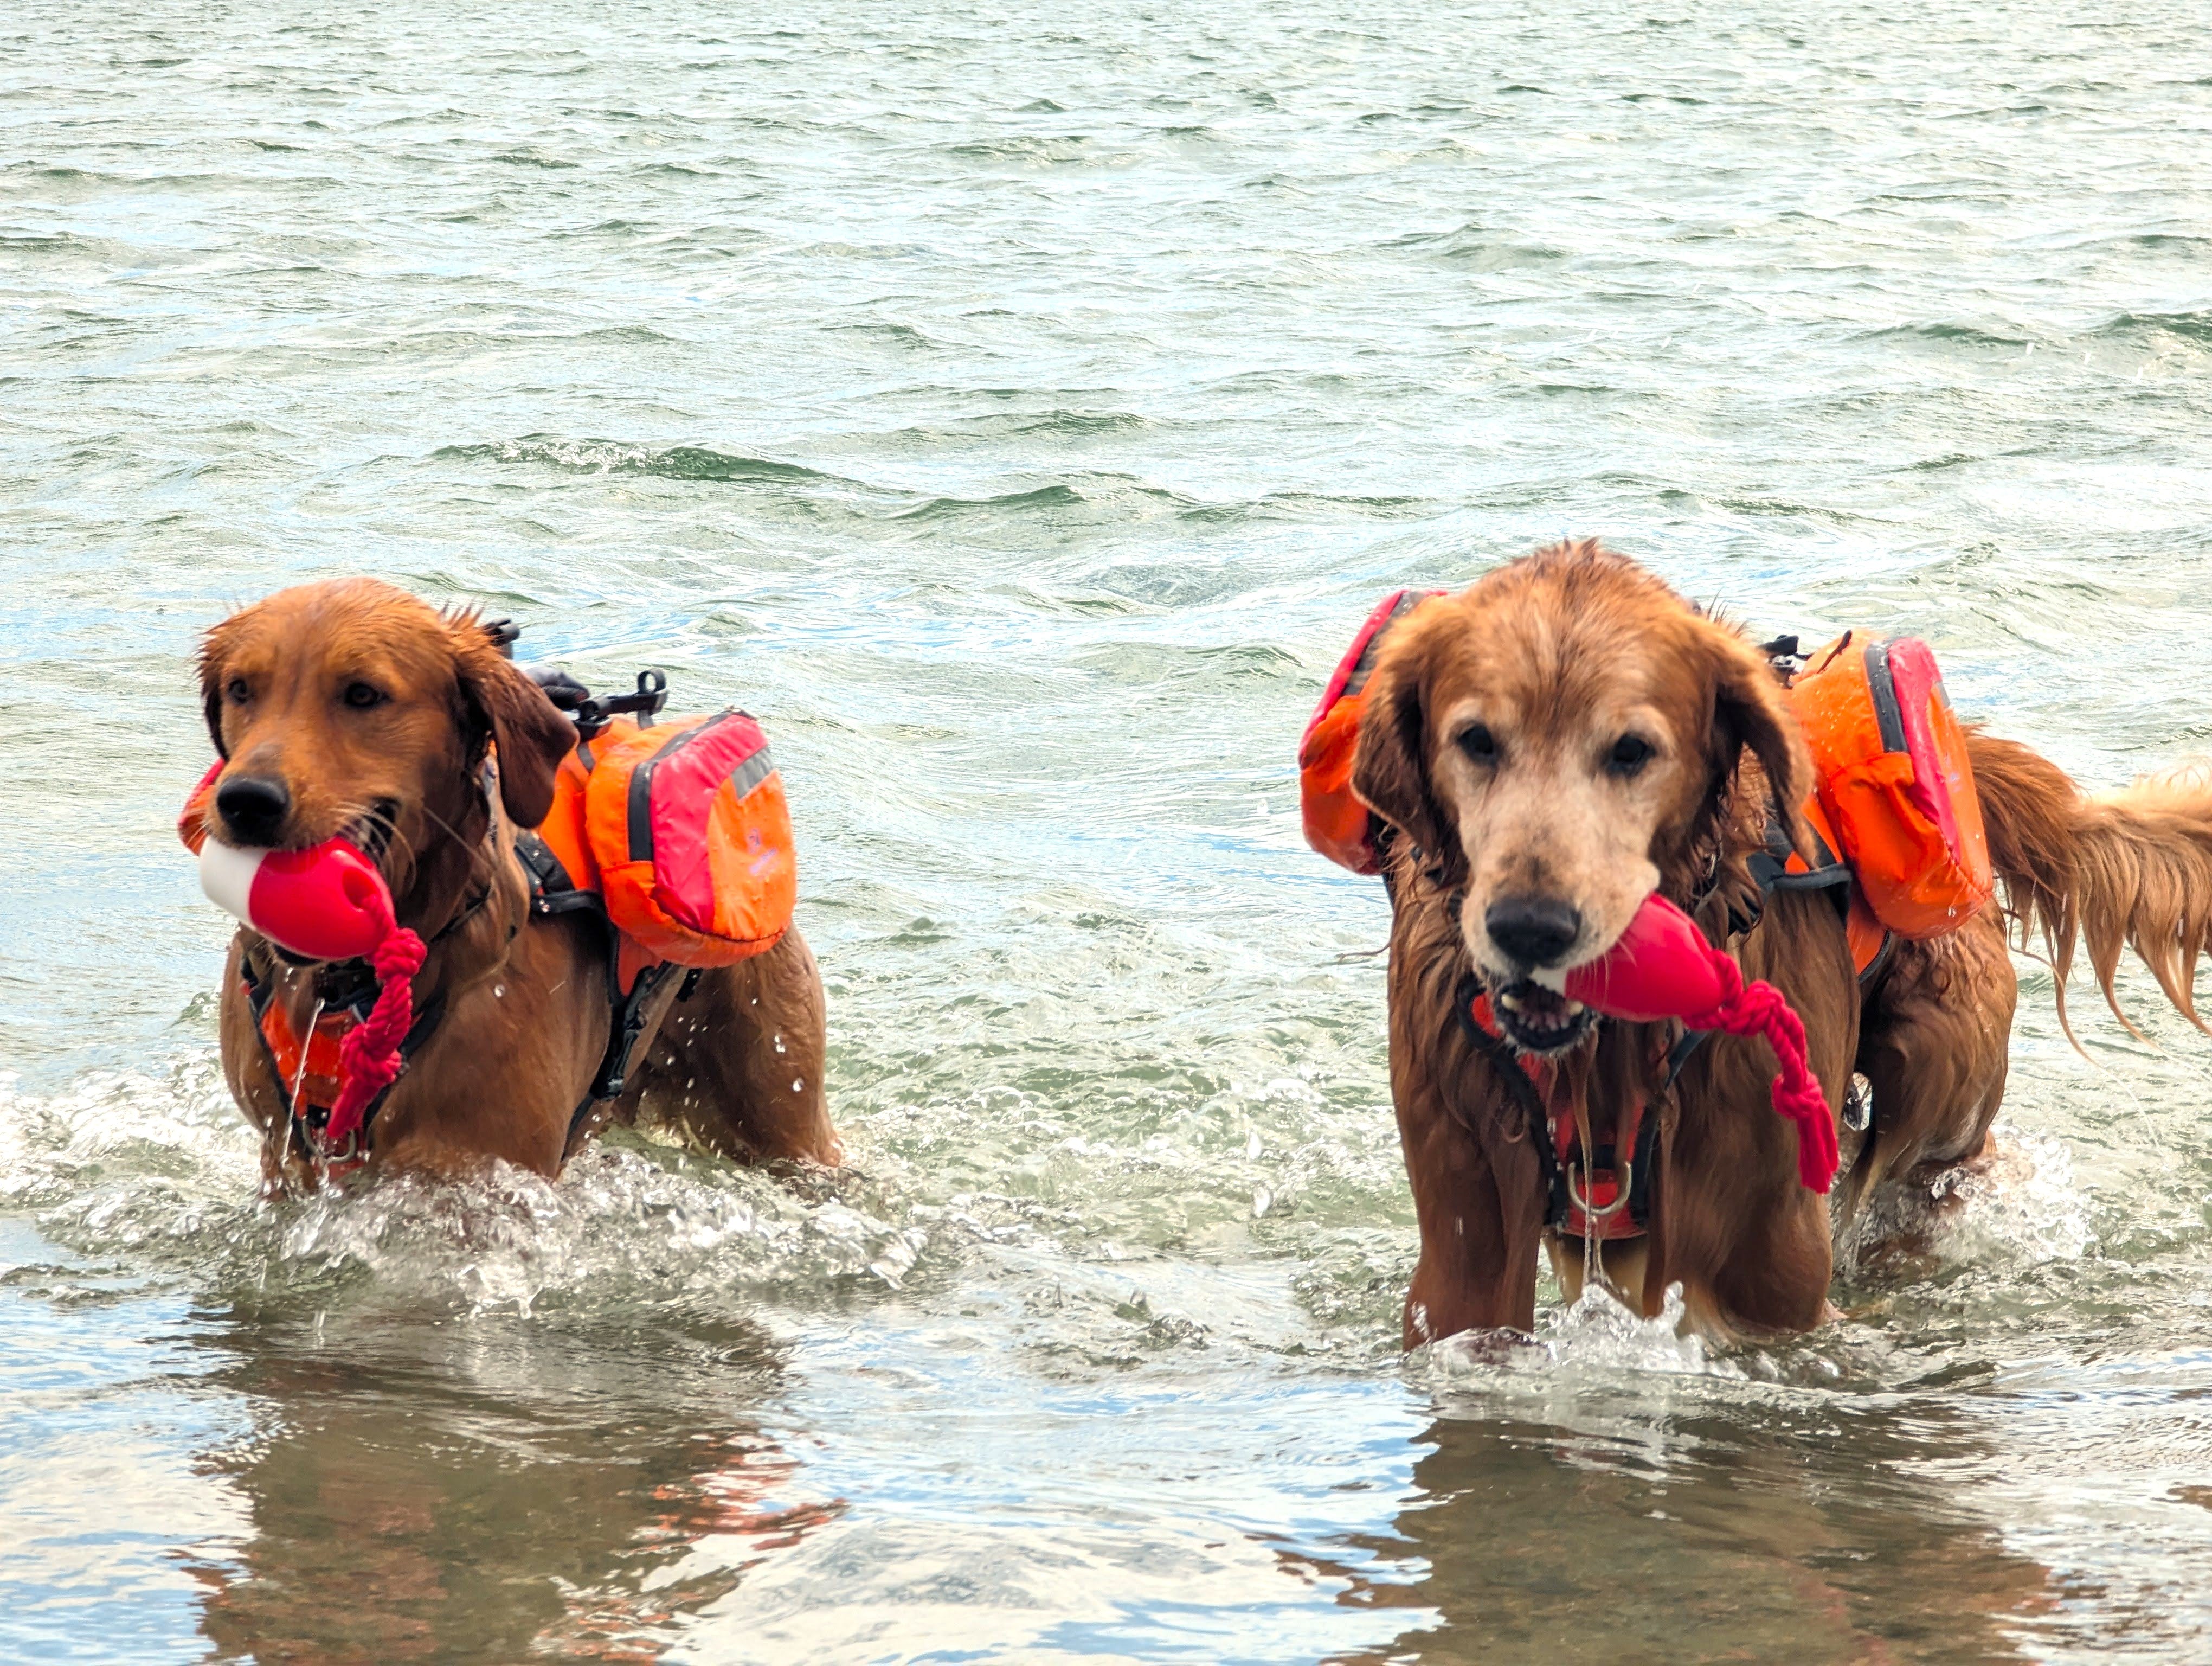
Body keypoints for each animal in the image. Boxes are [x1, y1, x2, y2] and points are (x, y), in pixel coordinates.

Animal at [197, 579, 836, 1186]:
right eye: (241, 689)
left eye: (363, 693)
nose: (246, 801)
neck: (350, 988)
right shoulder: (286, 1155)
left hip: (779, 1105)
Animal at [1345, 540, 2212, 1345]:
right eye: (1476, 740)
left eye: (1633, 751)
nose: (1531, 926)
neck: (1611, 1044)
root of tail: (1963, 743)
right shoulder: (1465, 1234)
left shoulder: (1773, 1253)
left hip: (1939, 1055)